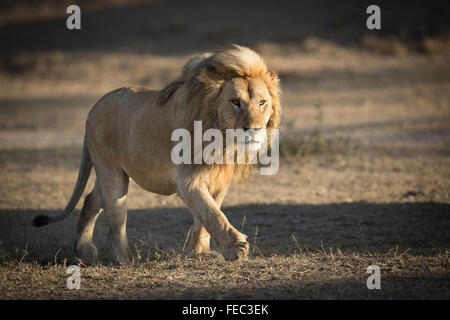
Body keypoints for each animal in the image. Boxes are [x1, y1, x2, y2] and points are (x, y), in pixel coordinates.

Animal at [31, 43, 280, 262]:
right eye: (235, 102)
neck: (223, 137)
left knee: (91, 199)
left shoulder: (219, 179)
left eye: (262, 103)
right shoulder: (188, 180)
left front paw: (199, 252)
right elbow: (213, 214)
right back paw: (125, 258)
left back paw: (83, 248)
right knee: (115, 218)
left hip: (111, 175)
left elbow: (206, 216)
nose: (255, 129)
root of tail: (93, 109)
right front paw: (236, 247)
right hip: (112, 174)